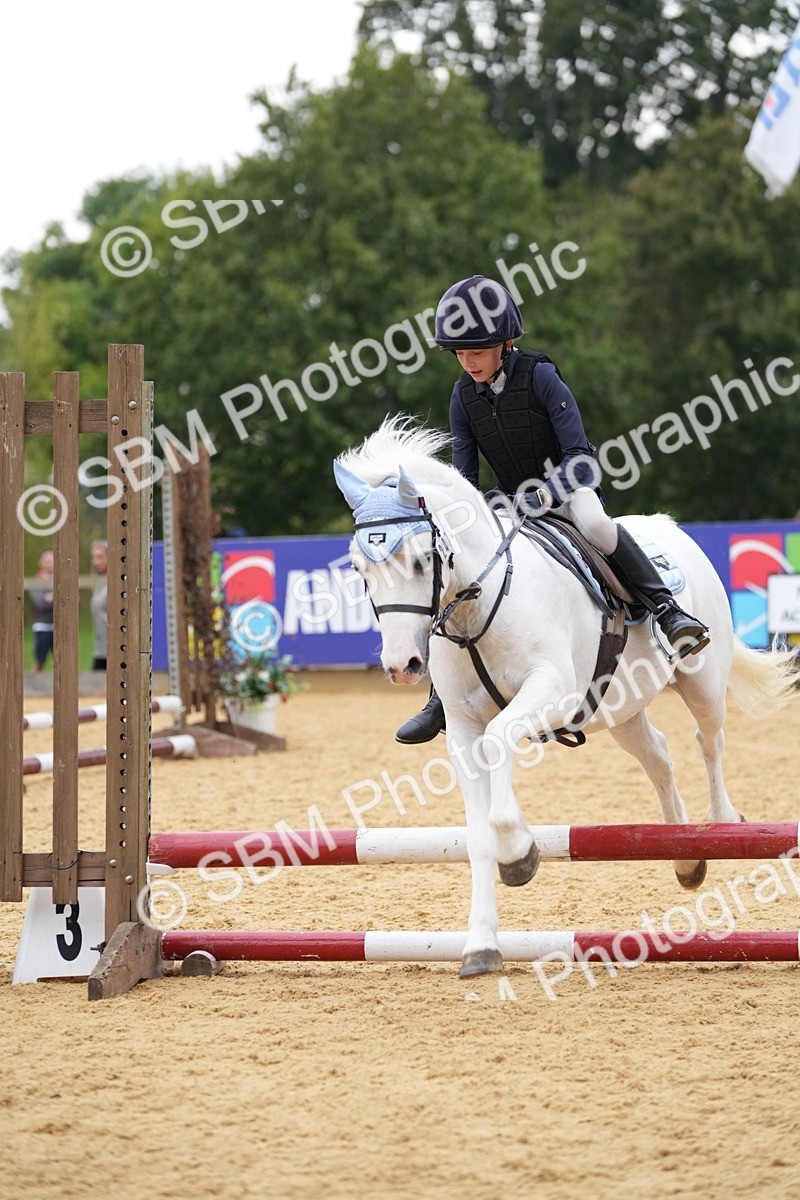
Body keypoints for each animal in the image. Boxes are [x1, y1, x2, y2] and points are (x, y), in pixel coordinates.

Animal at [334, 418, 797, 977]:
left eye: (424, 560)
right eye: (360, 569)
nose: (403, 665)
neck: (480, 605)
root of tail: (668, 526)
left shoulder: (551, 692)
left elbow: (500, 742)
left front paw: (520, 854)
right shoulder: (462, 729)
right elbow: (477, 834)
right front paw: (481, 946)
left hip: (702, 681)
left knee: (709, 739)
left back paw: (723, 821)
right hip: (621, 709)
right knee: (659, 757)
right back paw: (687, 858)